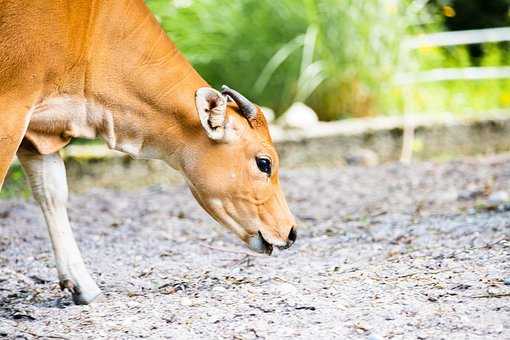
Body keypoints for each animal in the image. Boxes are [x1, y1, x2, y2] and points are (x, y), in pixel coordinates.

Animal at [0, 0, 296, 302]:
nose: (291, 232)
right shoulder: (11, 110)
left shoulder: (39, 134)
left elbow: (53, 192)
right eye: (264, 163)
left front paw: (83, 285)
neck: (93, 31)